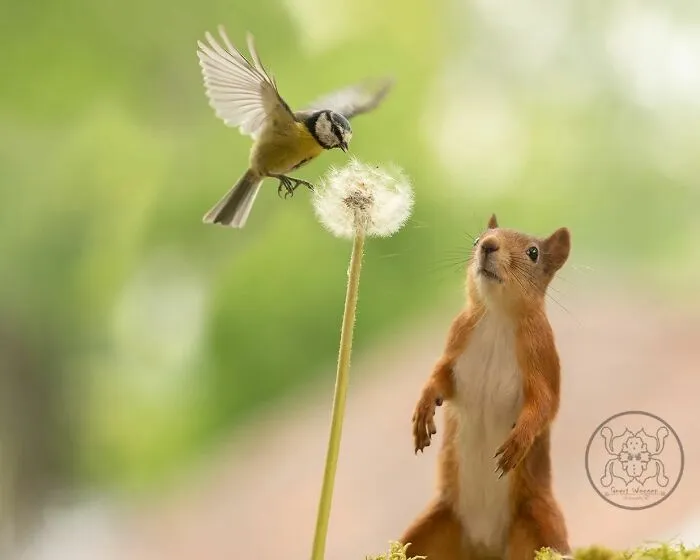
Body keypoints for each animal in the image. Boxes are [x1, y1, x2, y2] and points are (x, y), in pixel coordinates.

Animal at [399, 214, 571, 560]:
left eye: (533, 253)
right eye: (478, 239)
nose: (488, 246)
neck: (496, 317)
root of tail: (483, 546)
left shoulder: (542, 360)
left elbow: (545, 405)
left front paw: (519, 440)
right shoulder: (456, 341)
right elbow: (439, 377)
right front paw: (423, 409)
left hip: (539, 520)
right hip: (434, 525)